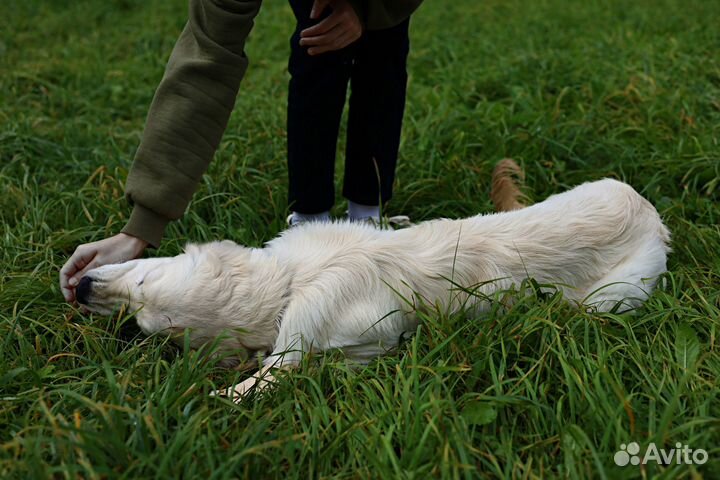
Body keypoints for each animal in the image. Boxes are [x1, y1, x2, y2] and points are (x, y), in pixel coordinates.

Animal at [77, 171, 668, 400]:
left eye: (144, 319)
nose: (81, 286)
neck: (295, 281)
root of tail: (650, 212)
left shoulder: (366, 346)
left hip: (614, 298)